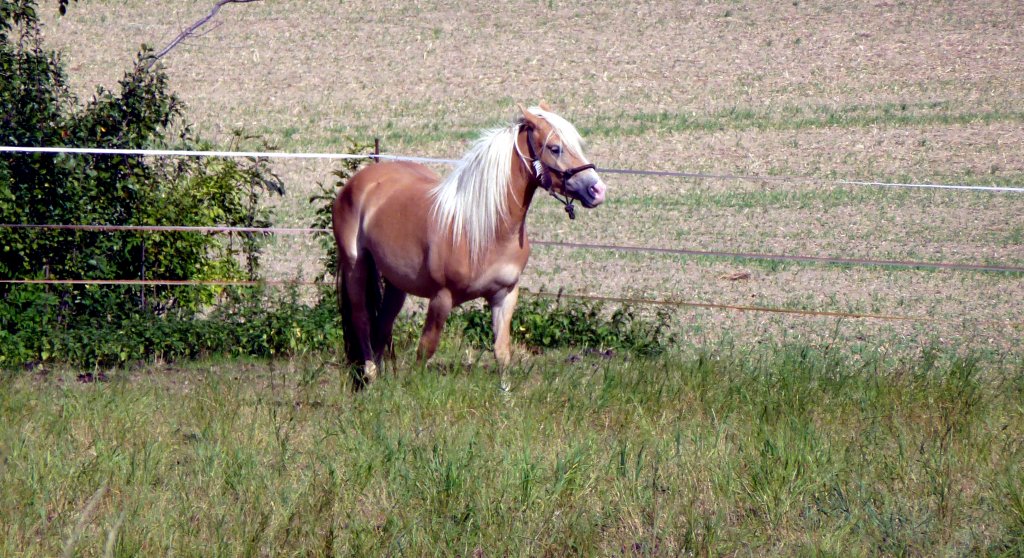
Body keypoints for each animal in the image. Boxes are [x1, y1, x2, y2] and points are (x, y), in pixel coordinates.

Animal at [333, 104, 606, 387]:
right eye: (555, 148)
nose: (597, 189)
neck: (488, 229)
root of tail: (361, 179)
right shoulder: (441, 298)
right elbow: (426, 349)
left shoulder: (505, 296)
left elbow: (502, 353)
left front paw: (505, 393)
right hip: (356, 265)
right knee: (362, 320)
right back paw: (371, 376)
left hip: (397, 282)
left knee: (383, 324)